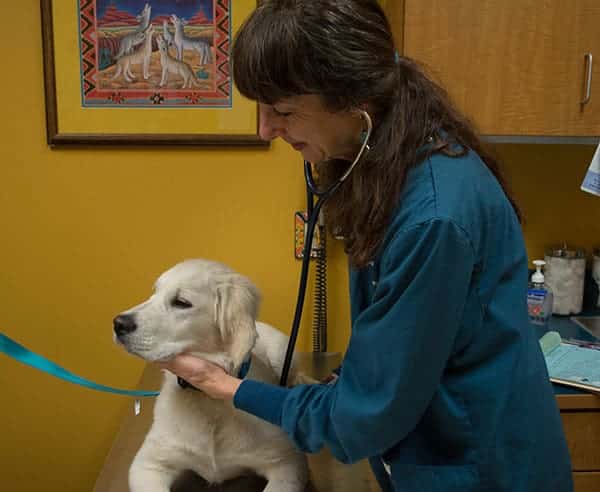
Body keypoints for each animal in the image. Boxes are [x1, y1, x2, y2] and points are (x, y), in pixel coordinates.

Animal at [113, 260, 310, 490]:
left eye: (181, 302)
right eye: (155, 292)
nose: (118, 323)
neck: (208, 401)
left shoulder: (288, 463)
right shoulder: (147, 464)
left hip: (283, 351)